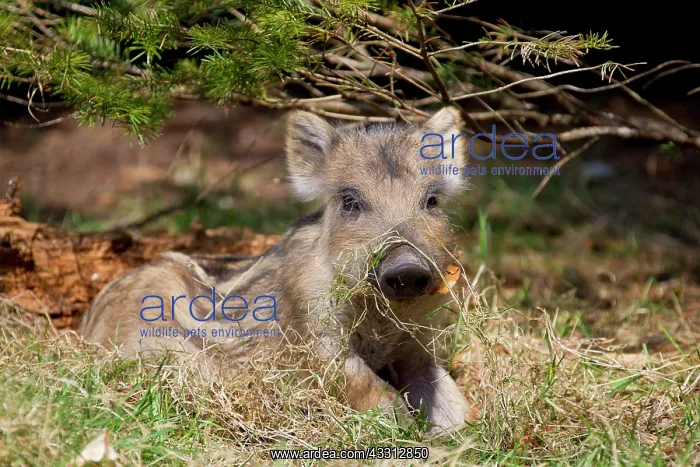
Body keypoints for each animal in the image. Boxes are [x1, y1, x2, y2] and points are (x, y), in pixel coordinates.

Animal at [80, 106, 476, 435]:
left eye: (432, 200)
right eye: (350, 201)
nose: (406, 266)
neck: (382, 319)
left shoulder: (418, 342)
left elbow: (449, 395)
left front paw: (462, 435)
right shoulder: (315, 336)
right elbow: (371, 390)